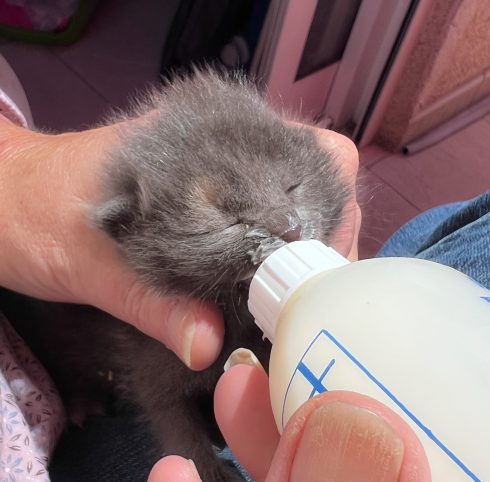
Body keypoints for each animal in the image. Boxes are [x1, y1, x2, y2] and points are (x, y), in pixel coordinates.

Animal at [1, 69, 350, 480]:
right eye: (229, 221)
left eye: (293, 186)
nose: (291, 226)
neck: (235, 316)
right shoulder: (150, 360)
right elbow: (172, 422)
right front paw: (209, 469)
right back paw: (82, 403)